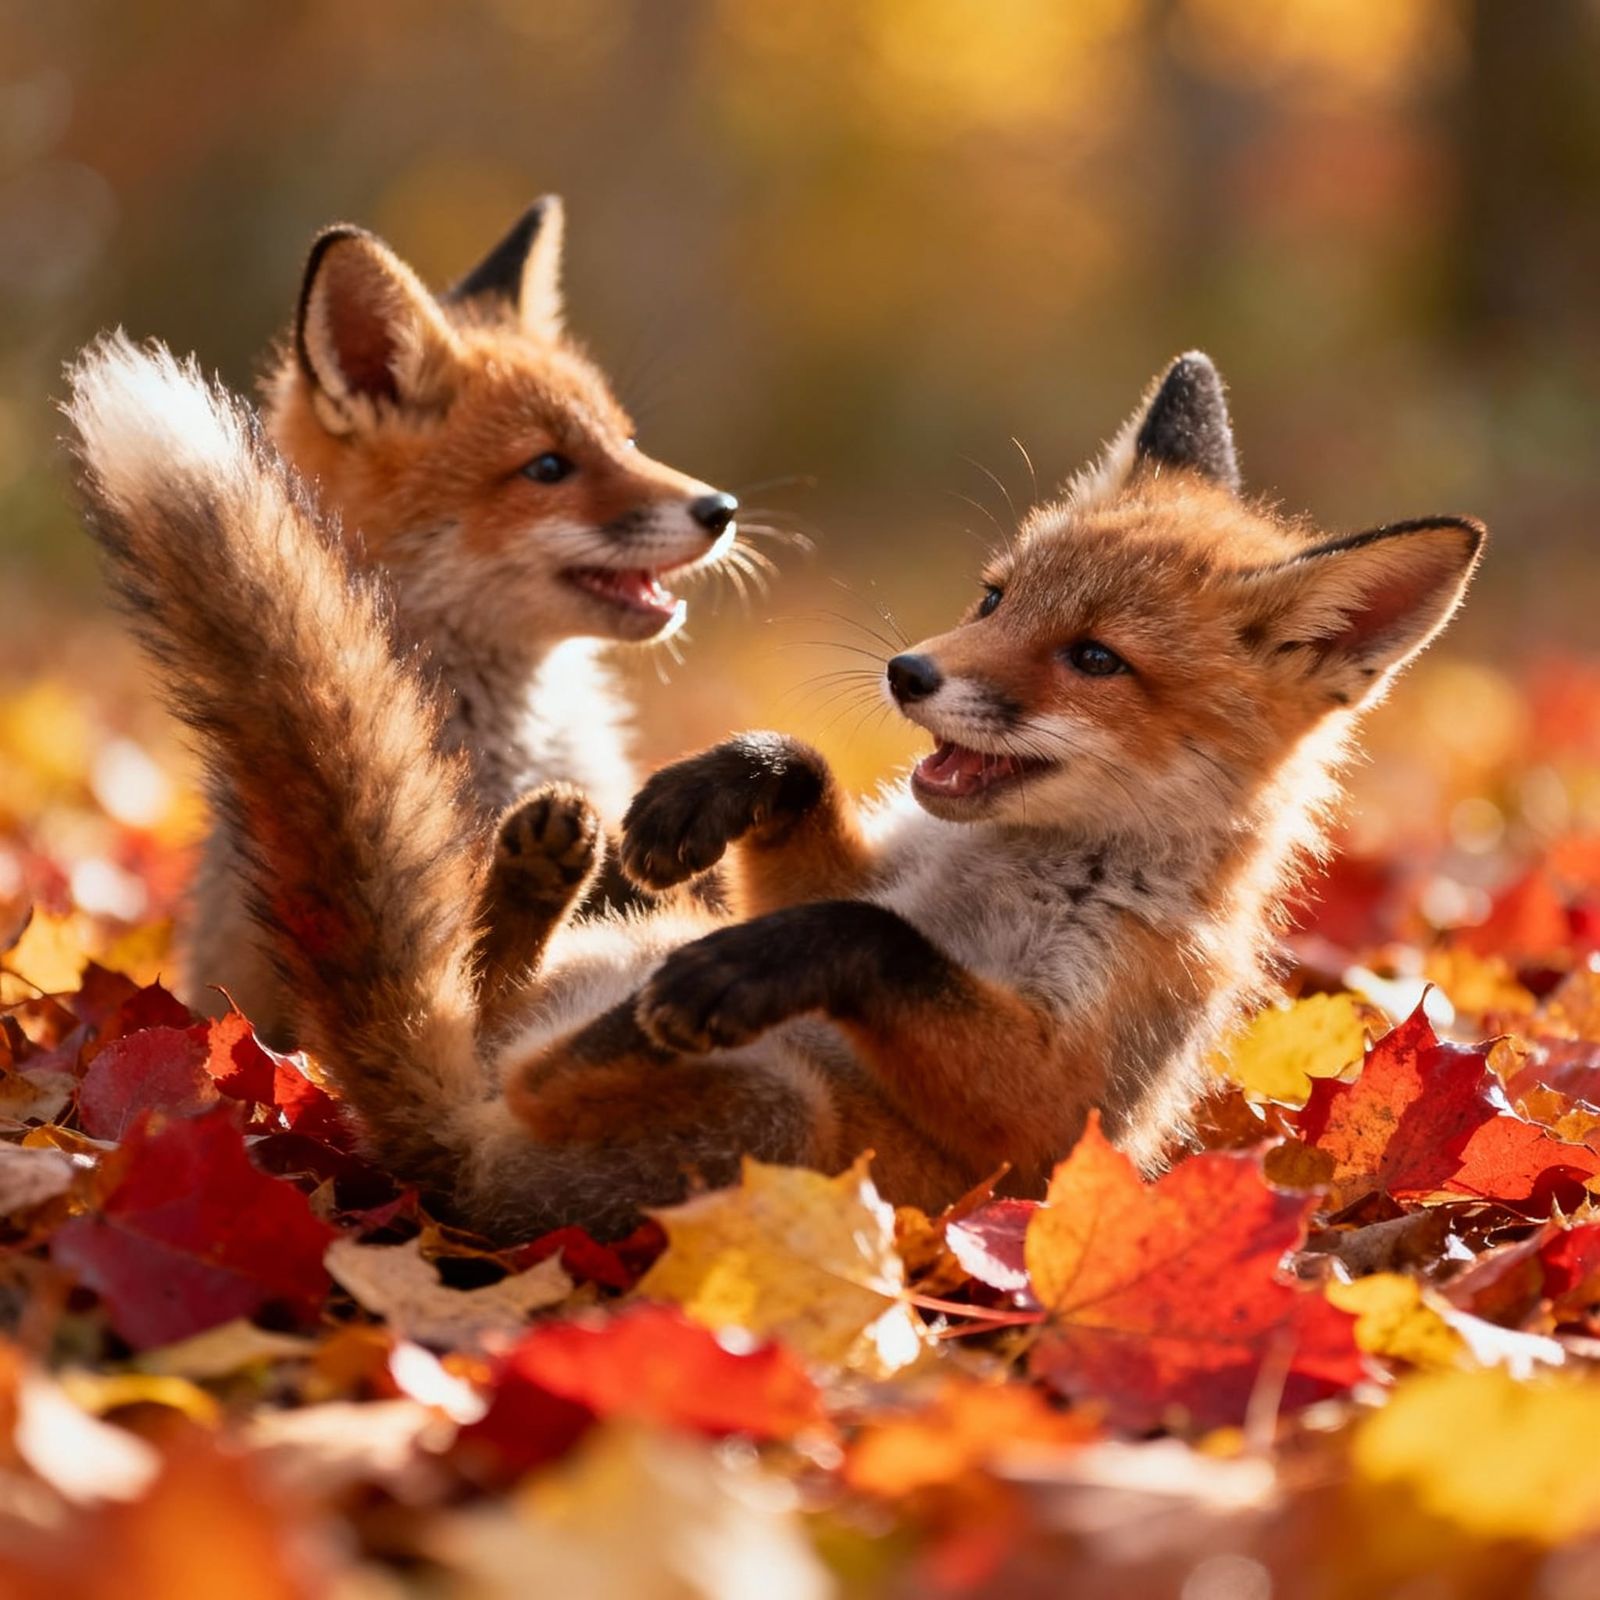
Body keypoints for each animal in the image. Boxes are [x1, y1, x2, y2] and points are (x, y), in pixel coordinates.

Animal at [66, 343, 1482, 1242]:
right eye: (993, 596)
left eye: (1095, 660)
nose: (910, 673)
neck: (993, 868)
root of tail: (439, 1159)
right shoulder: (868, 861)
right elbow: (808, 802)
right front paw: (706, 792)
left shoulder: (1055, 1118)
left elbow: (871, 938)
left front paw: (757, 962)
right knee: (484, 1000)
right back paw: (545, 878)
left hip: (782, 1120)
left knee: (535, 1075)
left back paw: (622, 1023)